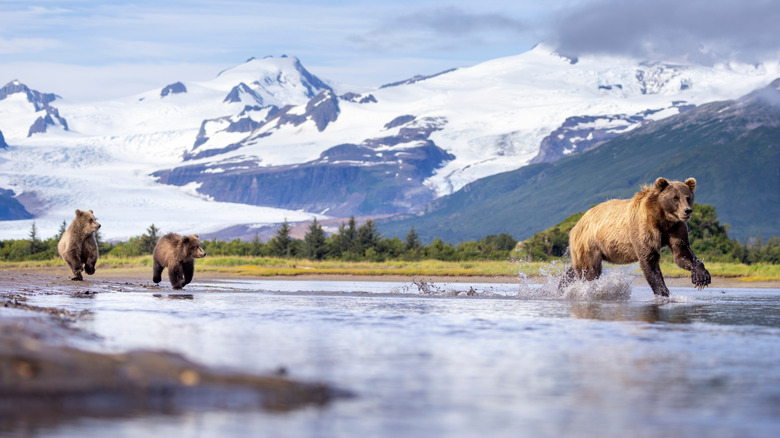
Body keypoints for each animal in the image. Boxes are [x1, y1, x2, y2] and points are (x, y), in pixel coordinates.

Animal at [561, 177, 711, 297]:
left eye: (688, 197)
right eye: (675, 197)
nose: (687, 211)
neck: (663, 218)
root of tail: (577, 223)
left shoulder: (676, 228)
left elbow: (682, 253)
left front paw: (701, 277)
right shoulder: (645, 227)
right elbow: (649, 260)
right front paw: (663, 291)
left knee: (577, 268)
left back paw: (562, 285)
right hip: (590, 243)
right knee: (590, 270)